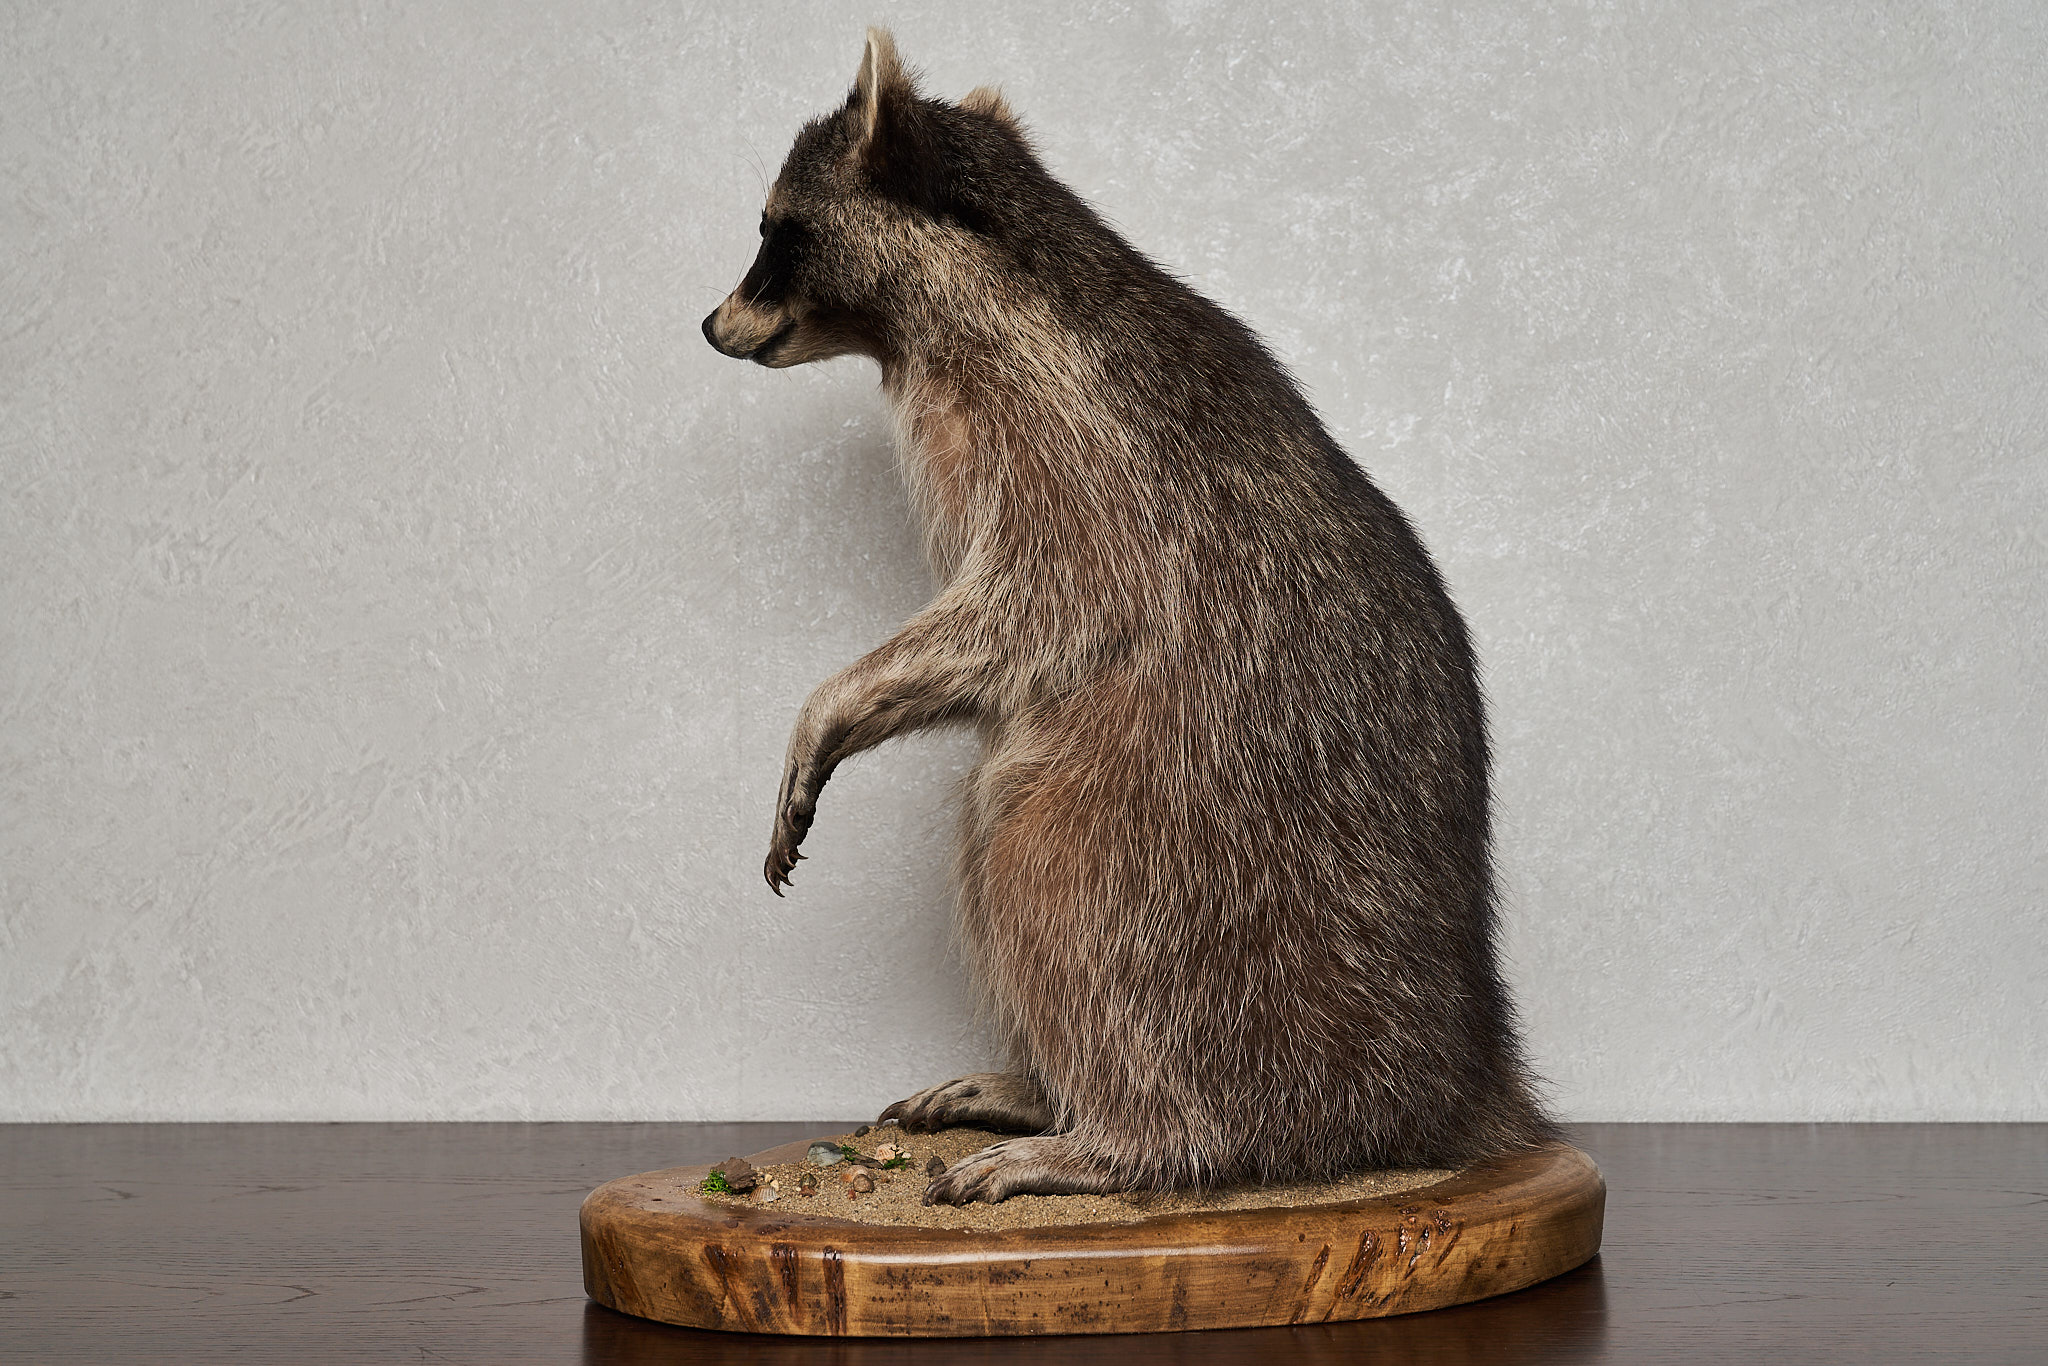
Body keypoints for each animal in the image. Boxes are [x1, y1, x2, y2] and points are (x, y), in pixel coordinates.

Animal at [703, 30, 1556, 1204]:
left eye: (771, 230)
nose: (709, 324)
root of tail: (1460, 1067)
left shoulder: (1084, 466)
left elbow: (1029, 614)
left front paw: (837, 697)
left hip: (1179, 838)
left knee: (1057, 884)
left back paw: (1115, 1135)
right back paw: (1041, 1086)